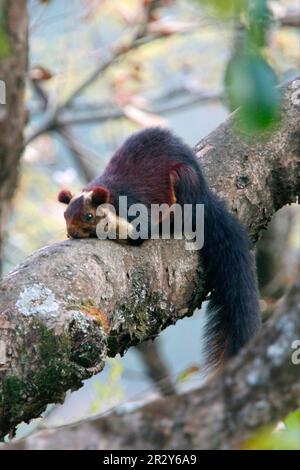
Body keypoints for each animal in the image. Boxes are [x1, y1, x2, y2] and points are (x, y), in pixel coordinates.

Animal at [58, 127, 260, 368]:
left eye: (88, 216)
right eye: (65, 215)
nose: (71, 232)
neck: (112, 201)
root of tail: (203, 190)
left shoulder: (134, 215)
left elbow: (137, 234)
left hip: (183, 181)